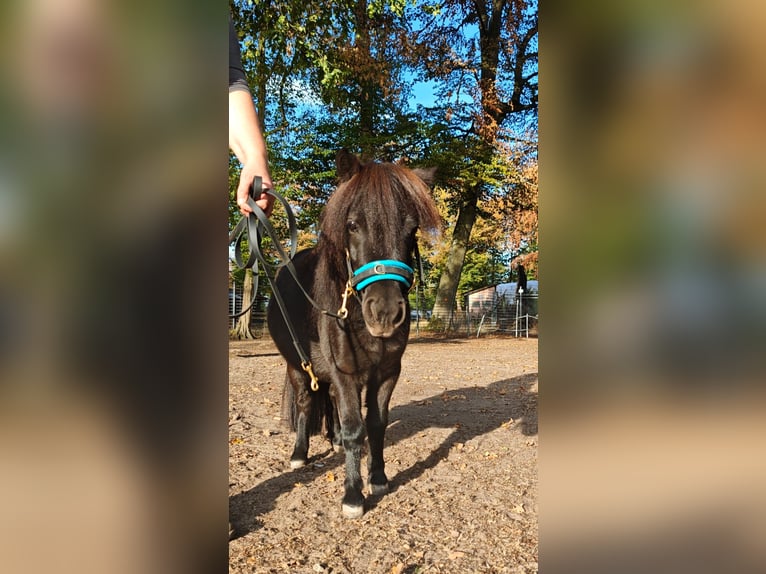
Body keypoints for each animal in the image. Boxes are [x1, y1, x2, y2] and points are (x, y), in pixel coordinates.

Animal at [266, 150, 441, 518]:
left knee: (331, 402)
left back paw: (330, 439)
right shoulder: (345, 373)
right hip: (297, 367)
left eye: (412, 228)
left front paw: (378, 479)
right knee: (305, 404)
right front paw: (352, 495)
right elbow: (354, 429)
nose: (385, 313)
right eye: (352, 225)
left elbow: (375, 424)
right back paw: (300, 453)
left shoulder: (387, 372)